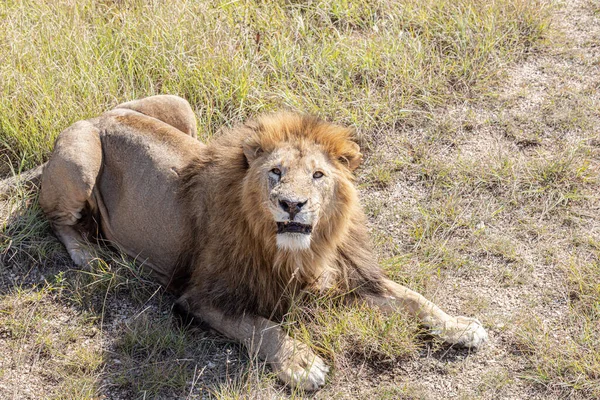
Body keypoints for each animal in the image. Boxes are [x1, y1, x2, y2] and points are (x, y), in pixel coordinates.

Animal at [34, 94, 488, 390]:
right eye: (275, 172)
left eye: (318, 175)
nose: (292, 204)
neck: (301, 252)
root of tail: (98, 116)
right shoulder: (201, 297)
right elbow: (262, 327)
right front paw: (302, 362)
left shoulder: (351, 273)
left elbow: (412, 297)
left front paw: (460, 325)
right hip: (81, 160)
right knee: (56, 219)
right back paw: (89, 256)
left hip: (180, 107)